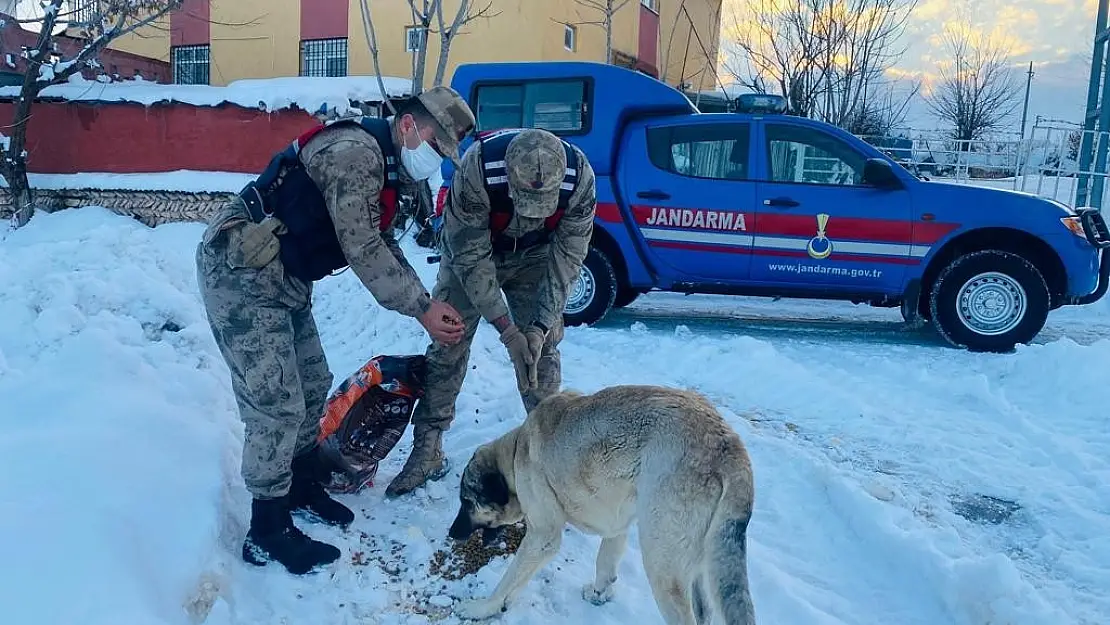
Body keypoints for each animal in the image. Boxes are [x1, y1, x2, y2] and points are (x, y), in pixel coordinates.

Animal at [448, 384, 754, 621]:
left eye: (466, 502)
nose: (451, 533)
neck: (513, 454)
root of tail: (728, 446)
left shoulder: (543, 537)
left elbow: (509, 579)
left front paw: (484, 607)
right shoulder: (616, 526)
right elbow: (605, 562)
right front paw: (599, 594)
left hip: (662, 565)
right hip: (701, 561)